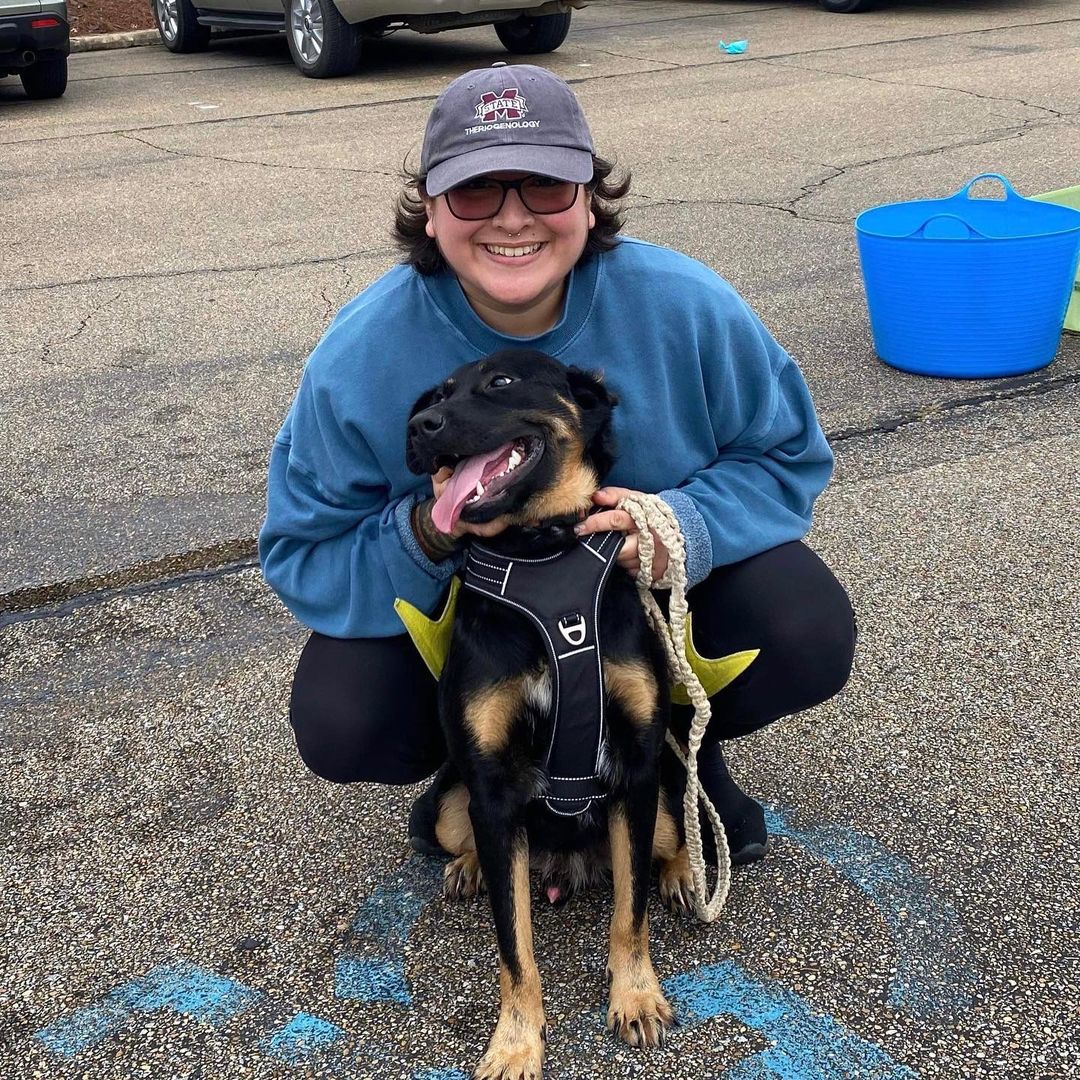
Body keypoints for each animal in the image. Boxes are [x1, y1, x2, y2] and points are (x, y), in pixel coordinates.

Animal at [406, 349, 691, 1075]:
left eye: (501, 381)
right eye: (435, 395)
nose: (418, 428)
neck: (538, 550)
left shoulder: (636, 768)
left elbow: (630, 913)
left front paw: (635, 996)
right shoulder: (491, 788)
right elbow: (515, 949)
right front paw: (515, 1042)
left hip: (663, 794)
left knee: (671, 838)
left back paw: (682, 871)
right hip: (445, 804)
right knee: (480, 846)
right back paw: (472, 866)